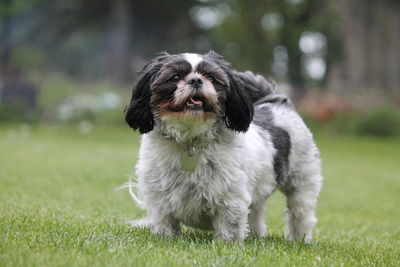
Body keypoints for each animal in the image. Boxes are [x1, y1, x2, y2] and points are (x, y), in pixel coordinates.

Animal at [124, 50, 322, 243]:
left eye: (211, 77)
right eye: (174, 77)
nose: (196, 80)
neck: (191, 140)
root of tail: (275, 103)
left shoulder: (231, 197)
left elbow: (229, 225)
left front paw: (225, 244)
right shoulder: (158, 197)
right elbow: (164, 222)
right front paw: (165, 239)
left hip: (302, 180)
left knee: (300, 212)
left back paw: (299, 239)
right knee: (256, 212)